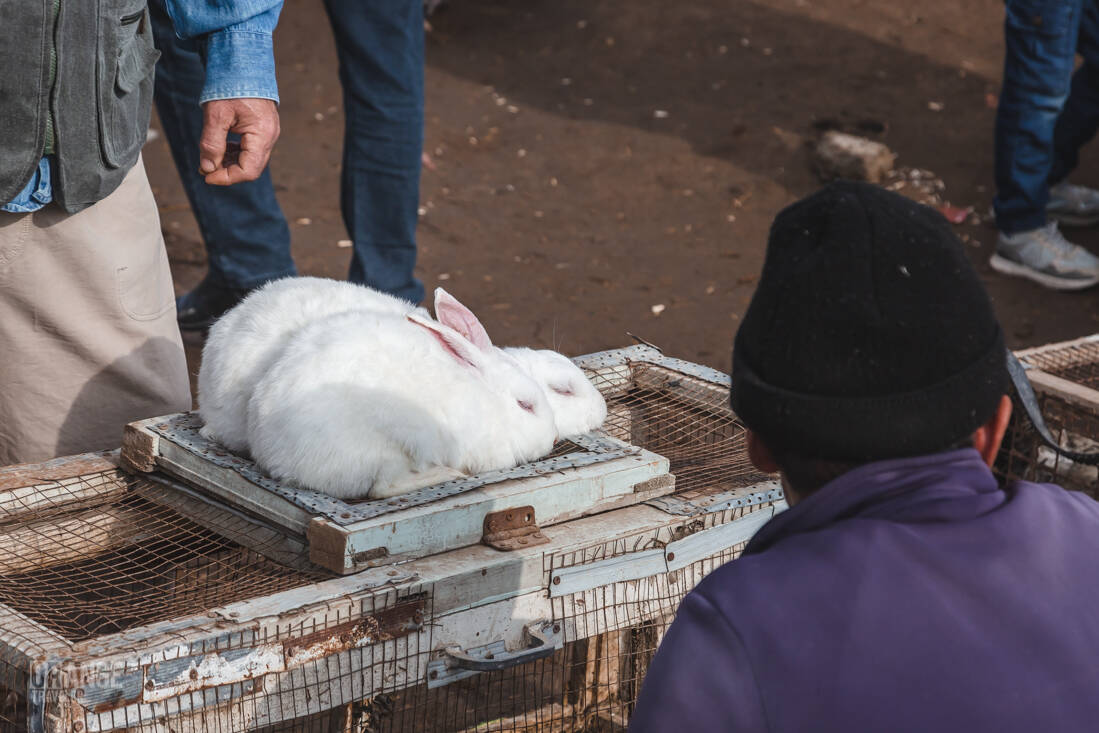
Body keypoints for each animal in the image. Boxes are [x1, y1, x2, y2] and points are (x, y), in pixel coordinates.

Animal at [246, 308, 558, 499]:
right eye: (525, 405)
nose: (554, 438)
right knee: (381, 488)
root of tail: (274, 456)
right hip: (389, 451)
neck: (488, 401)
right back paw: (446, 473)